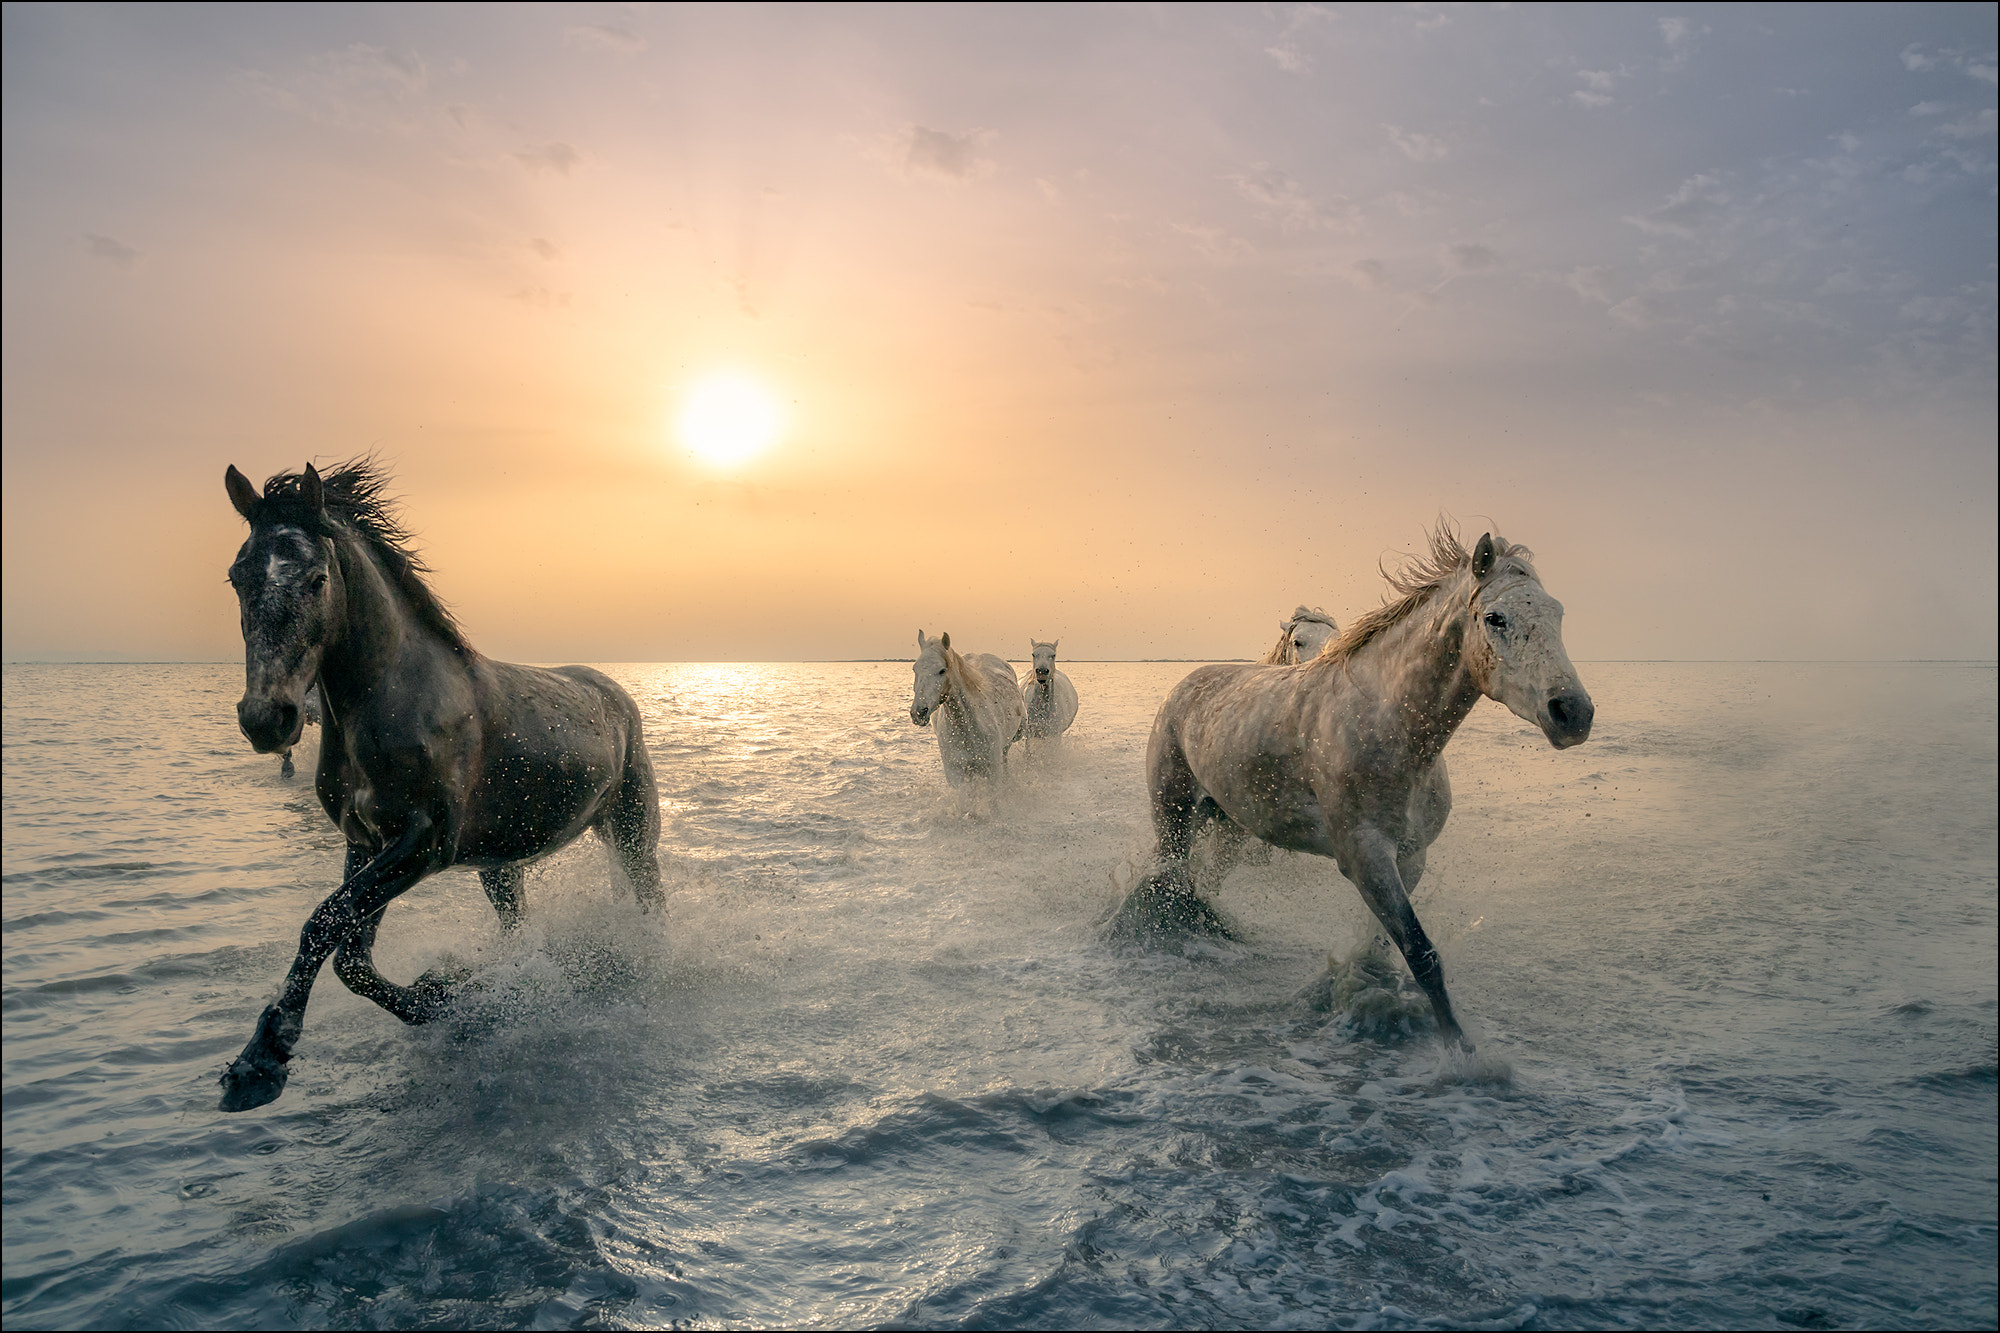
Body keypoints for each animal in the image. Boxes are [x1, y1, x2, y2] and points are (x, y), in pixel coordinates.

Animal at [217, 462, 664, 1104]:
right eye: (237, 577)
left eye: (317, 579)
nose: (266, 719)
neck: (393, 700)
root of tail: (615, 693)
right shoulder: (364, 843)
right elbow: (351, 955)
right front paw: (448, 997)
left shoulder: (423, 844)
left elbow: (322, 924)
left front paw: (262, 1061)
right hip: (500, 867)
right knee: (516, 926)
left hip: (630, 832)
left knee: (651, 904)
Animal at [1112, 528, 1592, 1048]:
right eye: (1495, 617)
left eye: (1557, 614)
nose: (1573, 712)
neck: (1390, 723)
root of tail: (1182, 687)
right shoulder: (1365, 858)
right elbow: (1422, 954)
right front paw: (1462, 1053)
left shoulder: (1410, 857)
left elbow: (1385, 949)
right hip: (1174, 818)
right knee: (1169, 882)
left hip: (1227, 827)